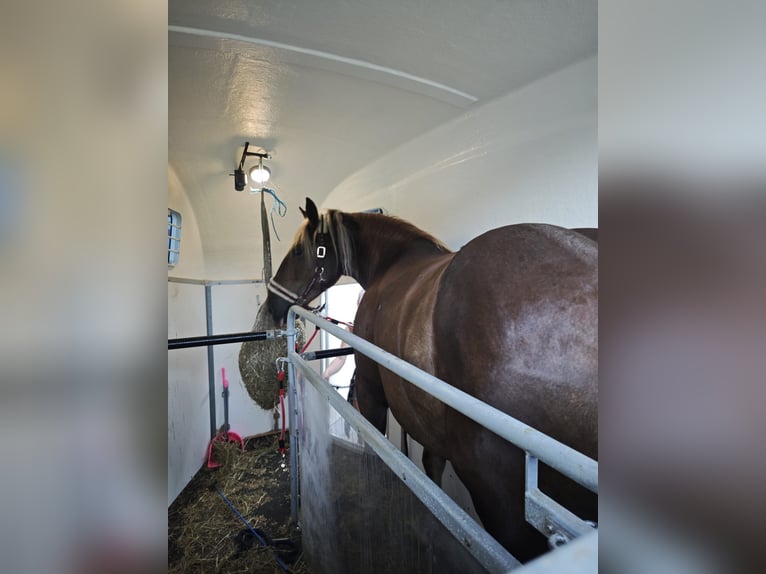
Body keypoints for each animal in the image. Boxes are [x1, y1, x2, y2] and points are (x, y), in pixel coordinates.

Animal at [266, 198, 597, 562]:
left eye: (299, 251)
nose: (271, 305)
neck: (391, 264)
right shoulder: (428, 416)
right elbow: (431, 466)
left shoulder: (370, 390)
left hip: (495, 494)